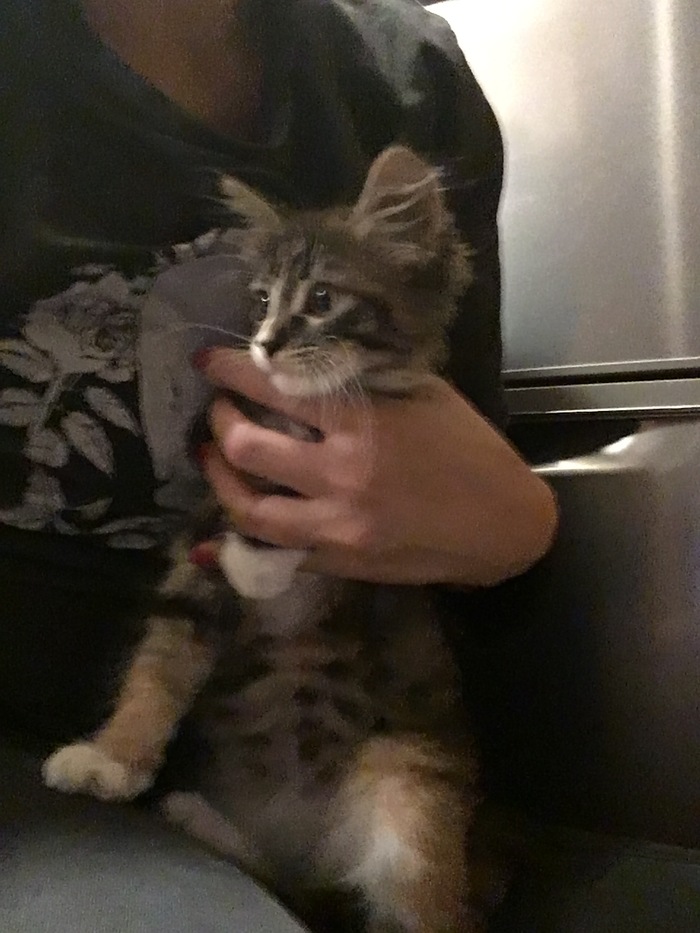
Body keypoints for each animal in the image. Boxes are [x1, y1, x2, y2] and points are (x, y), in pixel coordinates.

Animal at [43, 145, 479, 933]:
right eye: (261, 300)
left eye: (322, 299)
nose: (267, 345)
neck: (296, 419)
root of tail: (310, 843)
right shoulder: (196, 553)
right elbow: (159, 665)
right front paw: (113, 758)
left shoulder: (380, 562)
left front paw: (265, 561)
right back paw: (197, 817)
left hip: (410, 787)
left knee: (420, 902)